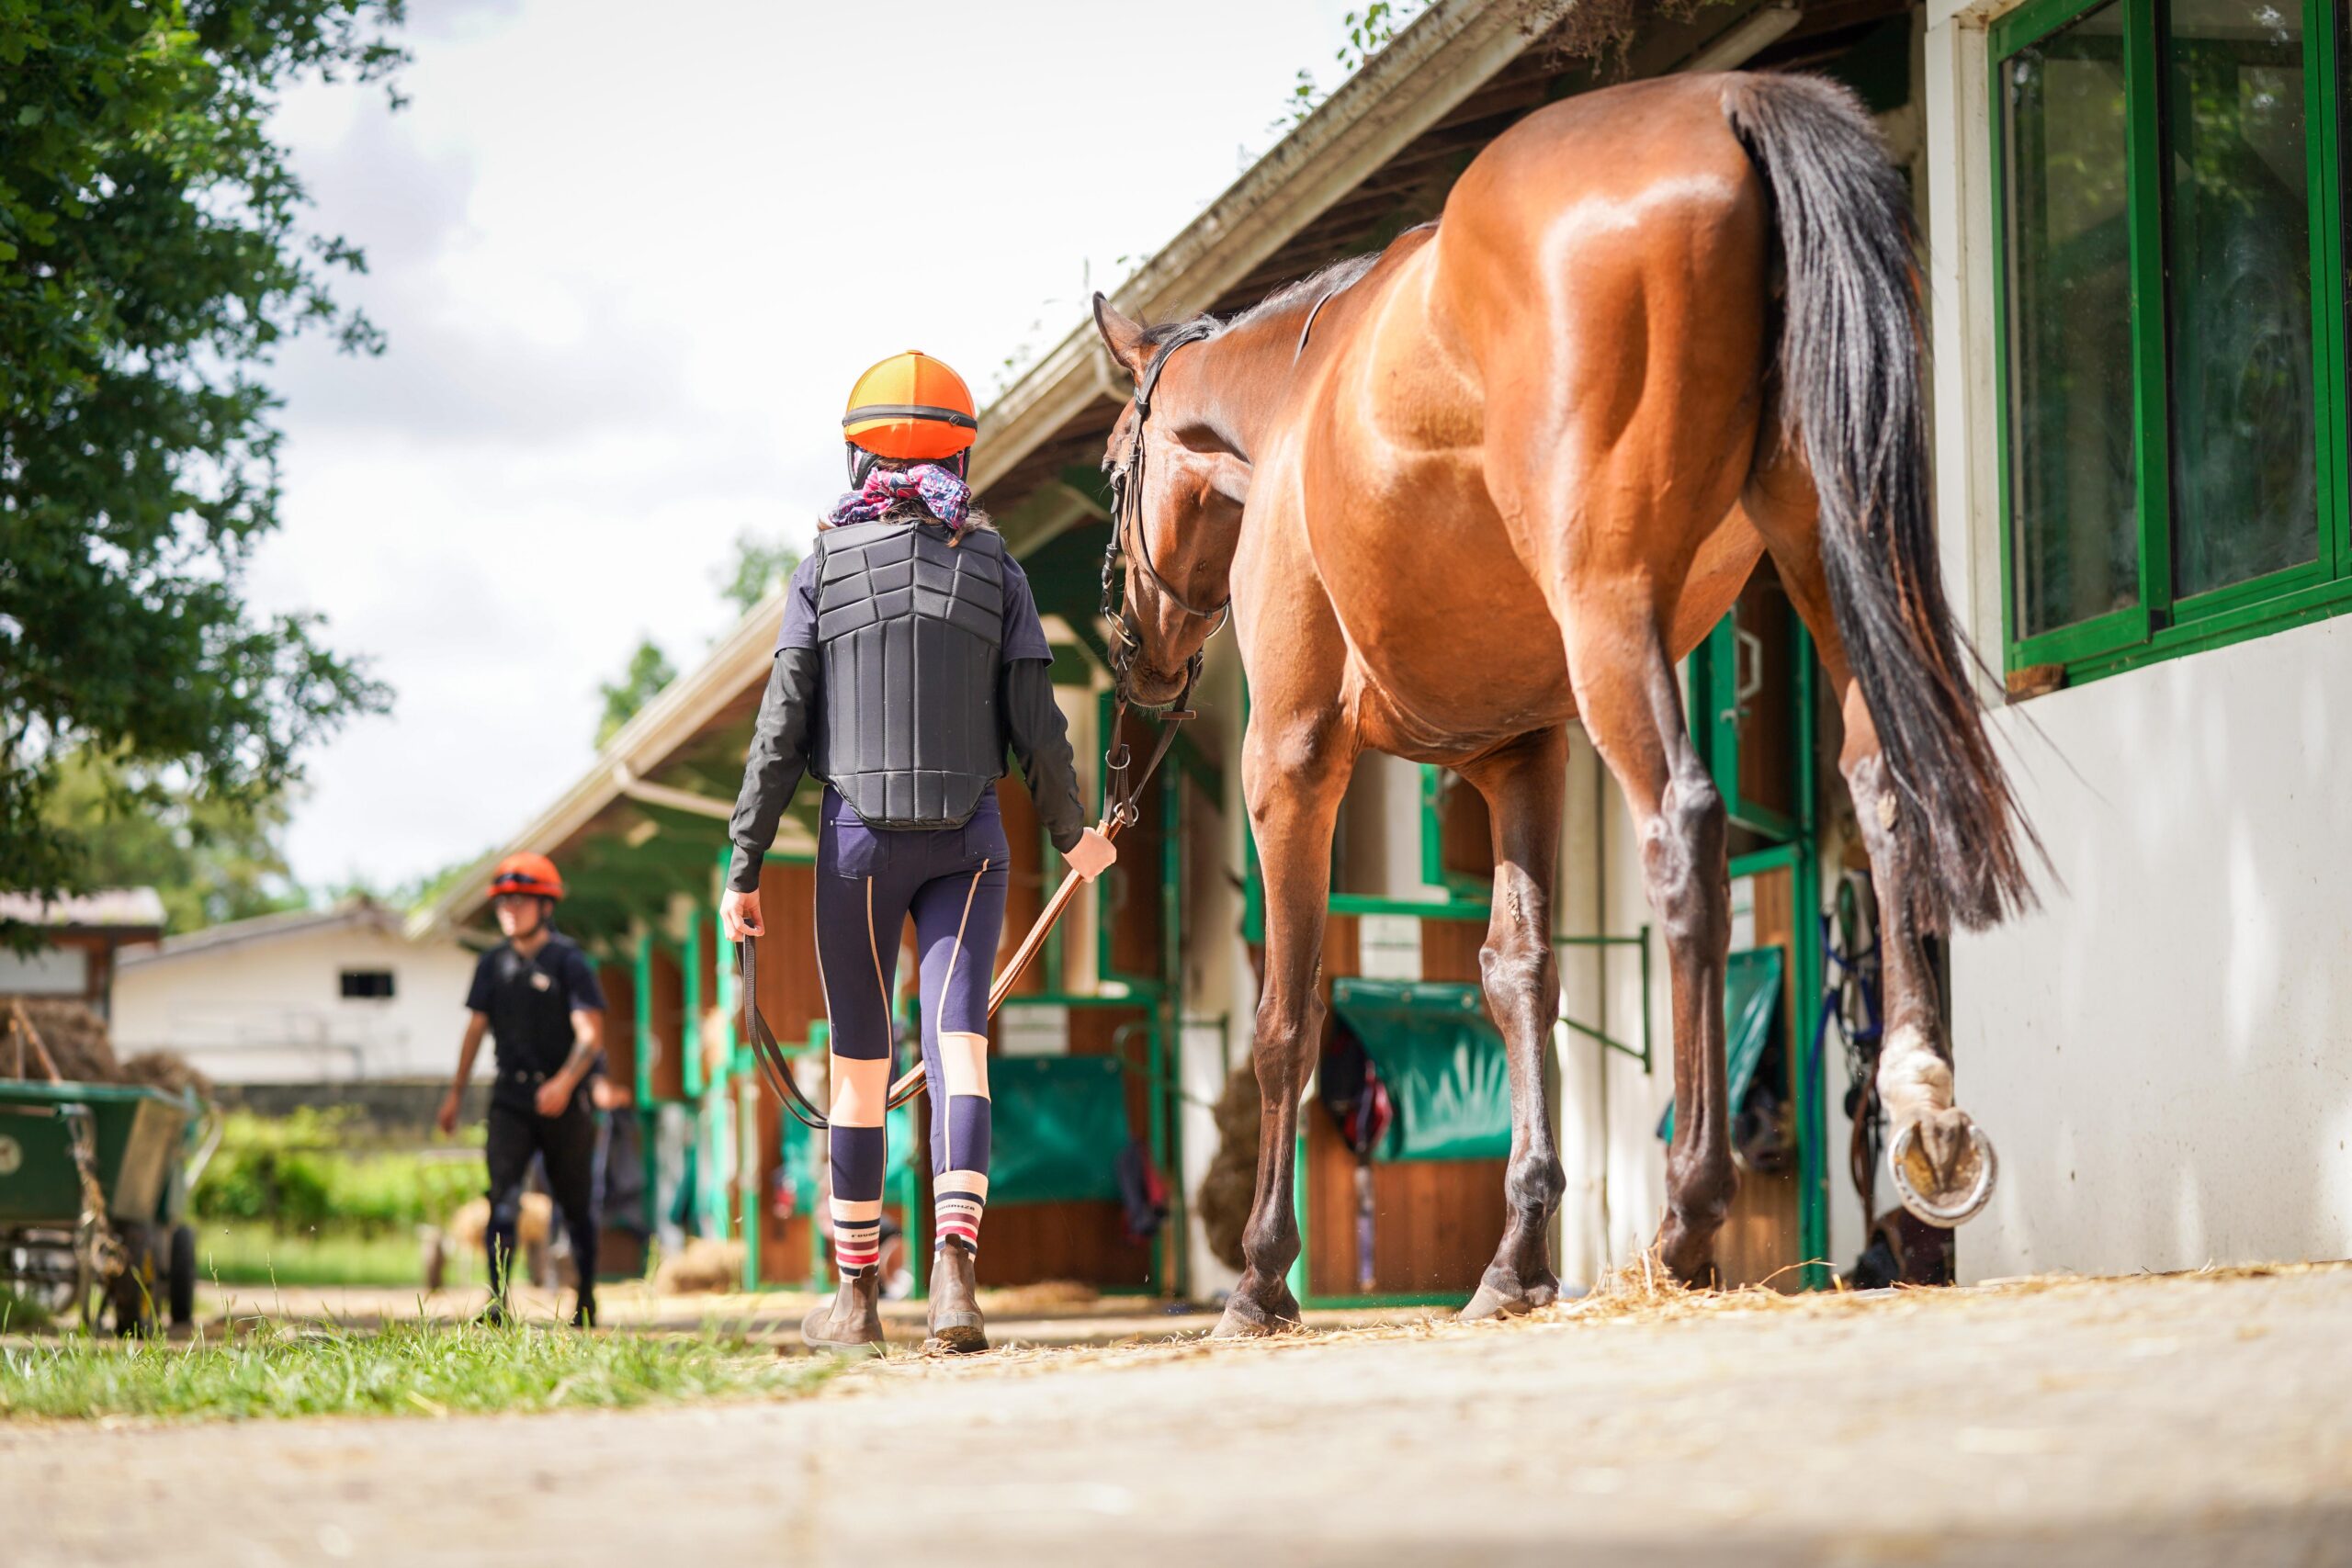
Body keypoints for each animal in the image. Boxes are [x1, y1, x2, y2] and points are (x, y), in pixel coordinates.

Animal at [1089, 70, 2040, 1337]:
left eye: (1114, 469)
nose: (1136, 656)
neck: (1293, 405)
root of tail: (1730, 98)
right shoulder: (1521, 752)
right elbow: (1519, 975)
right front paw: (1518, 1259)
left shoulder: (1288, 758)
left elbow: (1287, 1014)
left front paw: (1258, 1275)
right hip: (1828, 561)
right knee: (1882, 790)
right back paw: (1925, 1115)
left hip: (1611, 618)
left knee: (1684, 837)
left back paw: (1688, 1215)